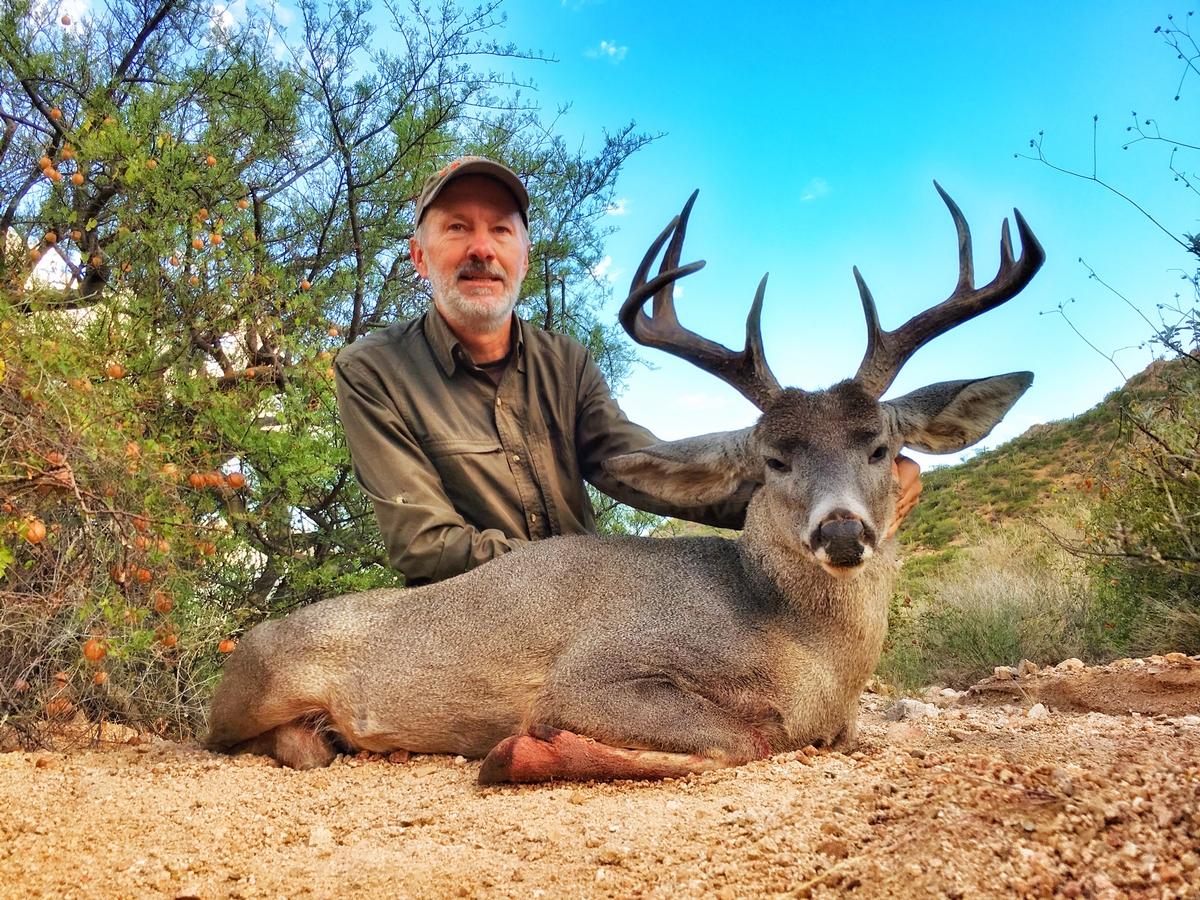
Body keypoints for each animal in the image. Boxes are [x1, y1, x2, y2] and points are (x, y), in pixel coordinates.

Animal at [204, 181, 1041, 782]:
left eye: (880, 446)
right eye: (773, 458)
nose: (842, 530)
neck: (810, 656)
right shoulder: (589, 676)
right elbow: (747, 736)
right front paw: (523, 753)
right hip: (249, 693)